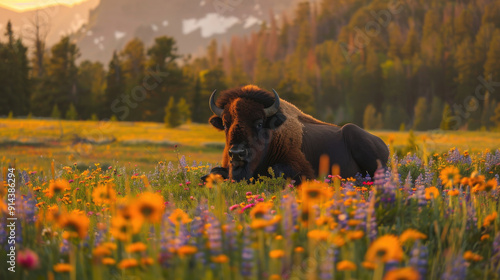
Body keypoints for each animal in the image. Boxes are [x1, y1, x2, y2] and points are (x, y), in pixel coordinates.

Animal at [204, 84, 390, 183]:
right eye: (226, 124)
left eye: (259, 123)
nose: (237, 153)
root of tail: (383, 144)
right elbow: (214, 171)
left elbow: (278, 170)